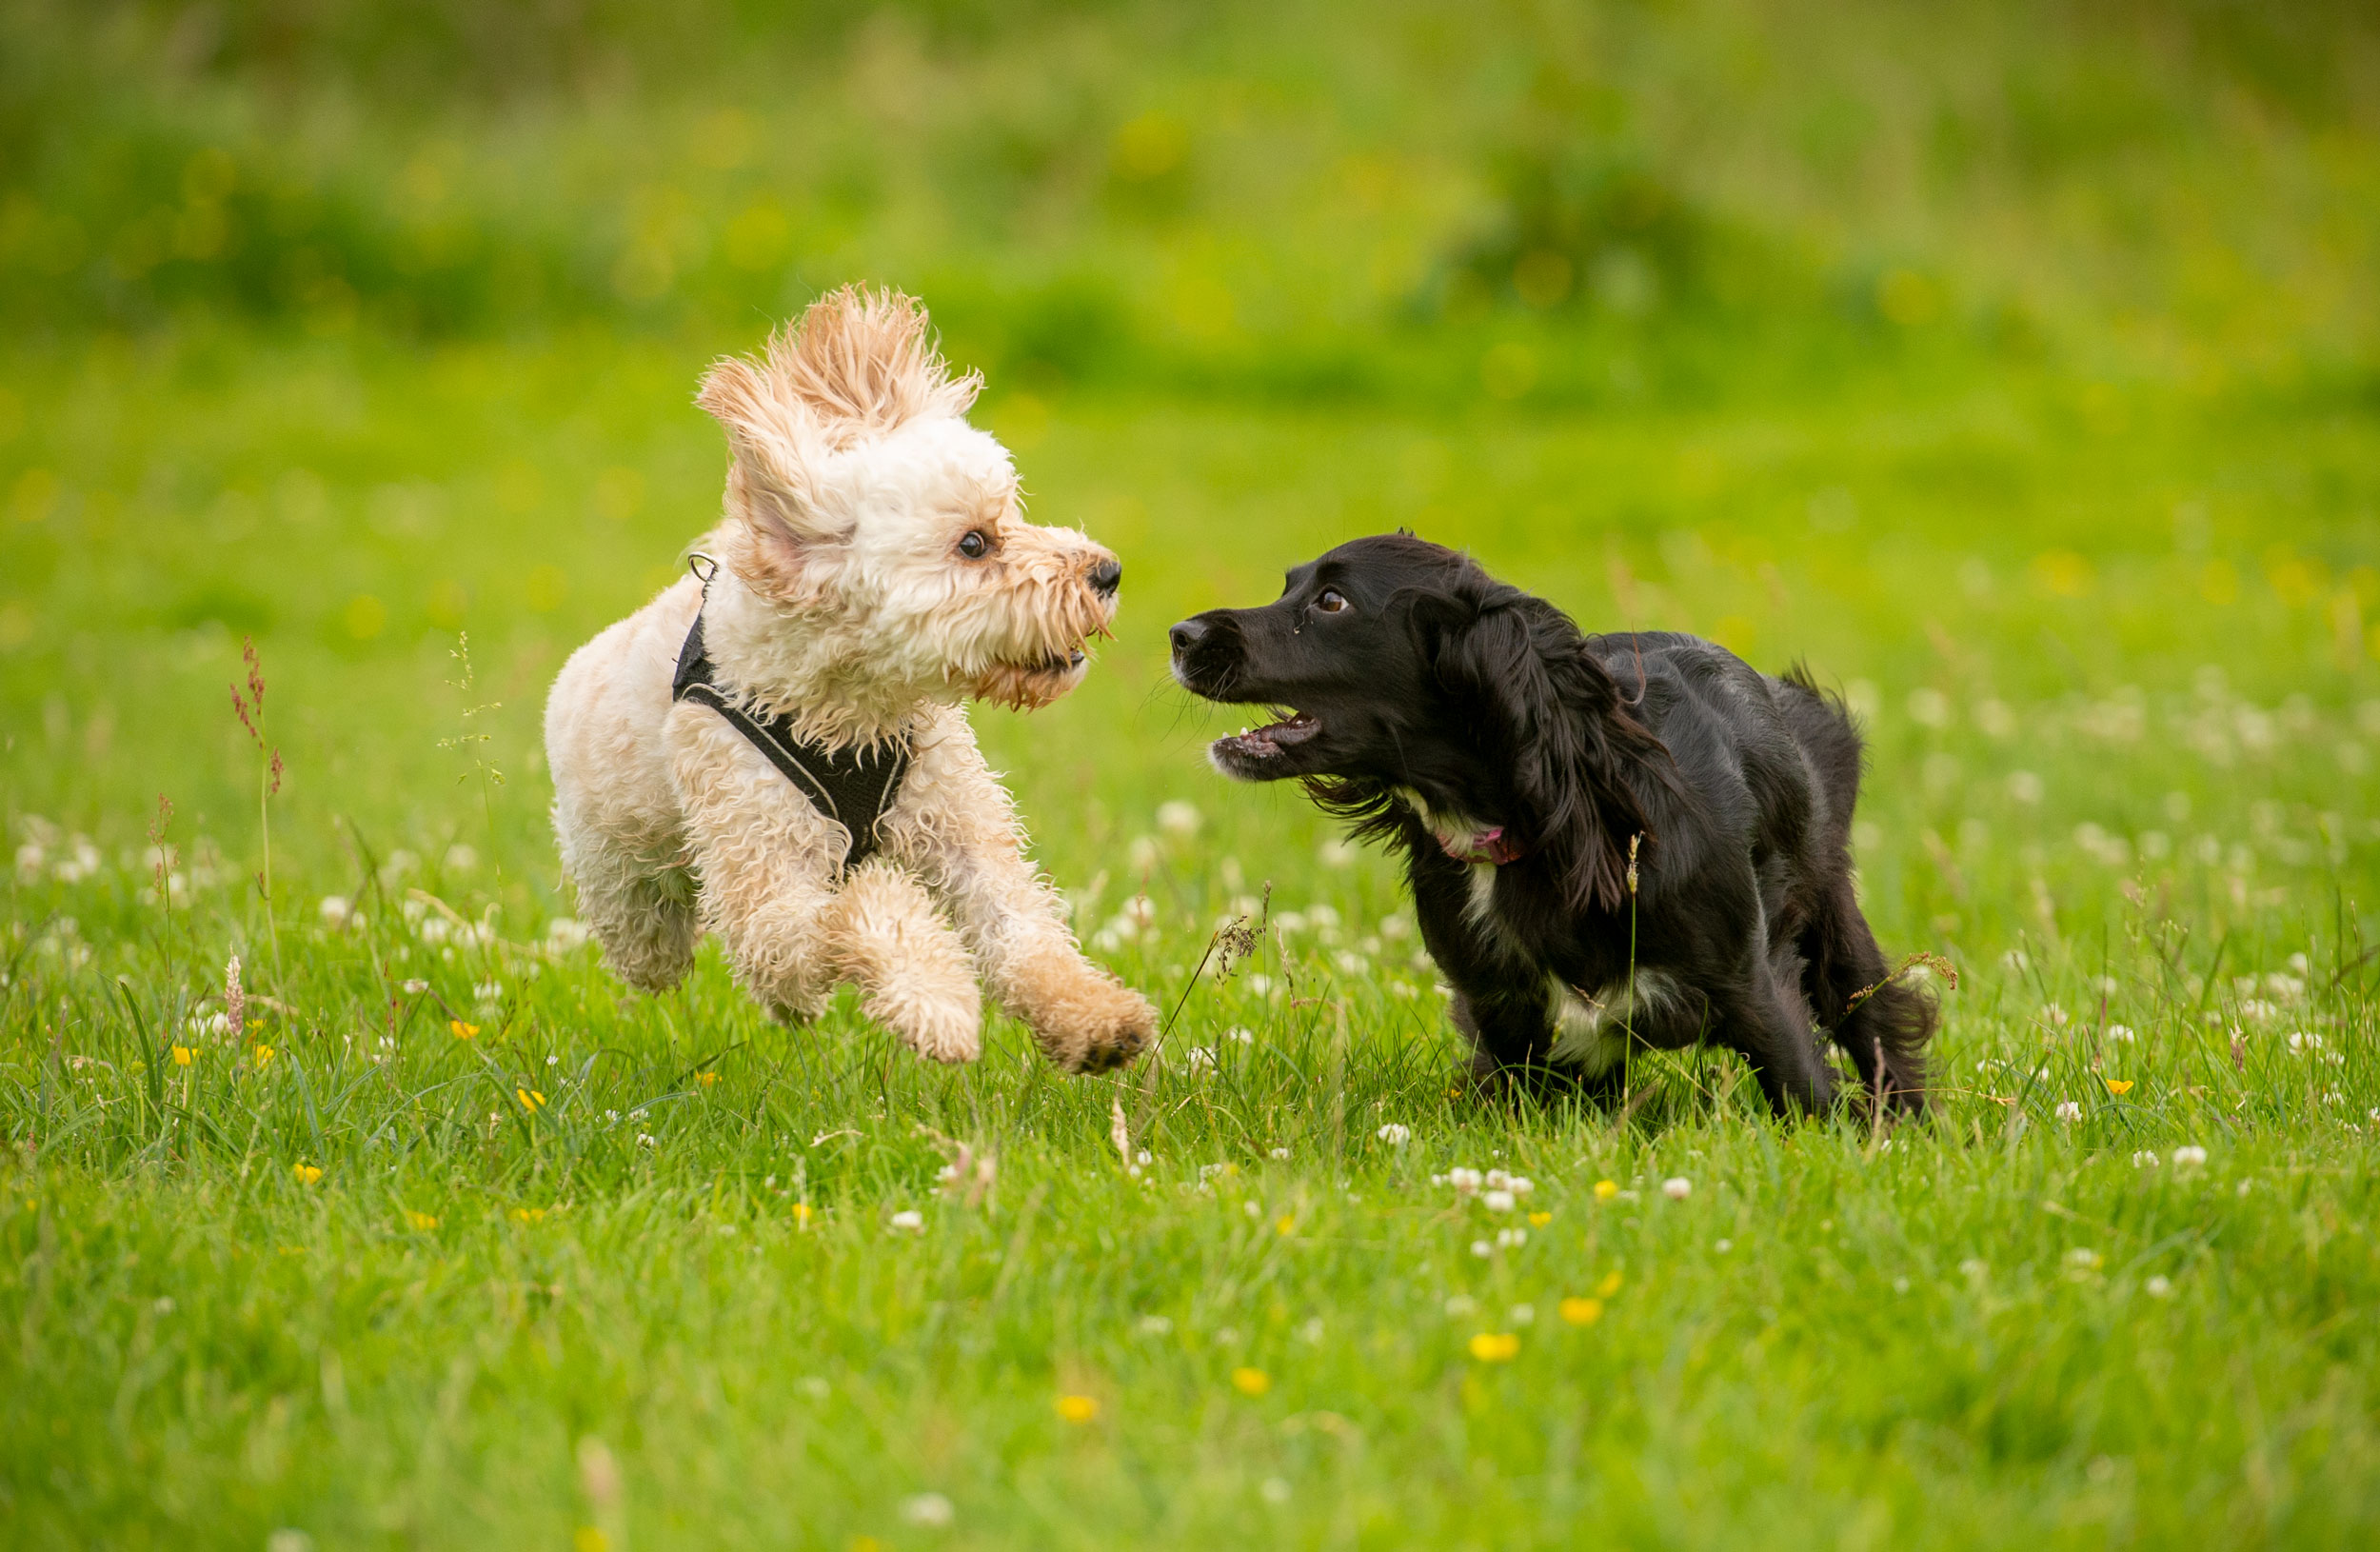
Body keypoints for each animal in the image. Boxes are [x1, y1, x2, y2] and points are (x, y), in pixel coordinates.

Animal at [549, 284, 1161, 1071]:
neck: (852, 714)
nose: (1106, 572)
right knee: (655, 945)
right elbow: (859, 910)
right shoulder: (768, 884)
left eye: (1012, 512)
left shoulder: (962, 827)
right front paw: (937, 1002)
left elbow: (1022, 928)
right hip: (625, 885)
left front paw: (1094, 1018)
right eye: (973, 543)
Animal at [1171, 533, 1933, 1114]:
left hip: (1833, 920)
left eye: (1332, 601)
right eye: (1289, 585)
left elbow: (1809, 1098)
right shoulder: (1502, 1017)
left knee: (1877, 1026)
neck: (1548, 824)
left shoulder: (1754, 989)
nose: (1181, 634)